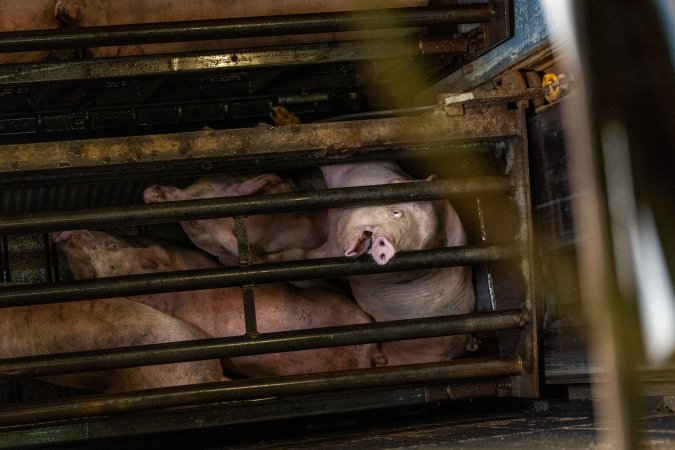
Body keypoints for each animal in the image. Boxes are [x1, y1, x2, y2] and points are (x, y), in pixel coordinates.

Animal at [144, 171, 328, 266]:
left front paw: (272, 178)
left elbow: (243, 188)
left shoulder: (227, 191)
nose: (148, 191)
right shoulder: (219, 238)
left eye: (165, 189)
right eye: (193, 225)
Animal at [310, 162, 476, 366]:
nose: (387, 245)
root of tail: (465, 340)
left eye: (407, 247)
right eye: (397, 213)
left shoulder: (331, 251)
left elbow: (305, 254)